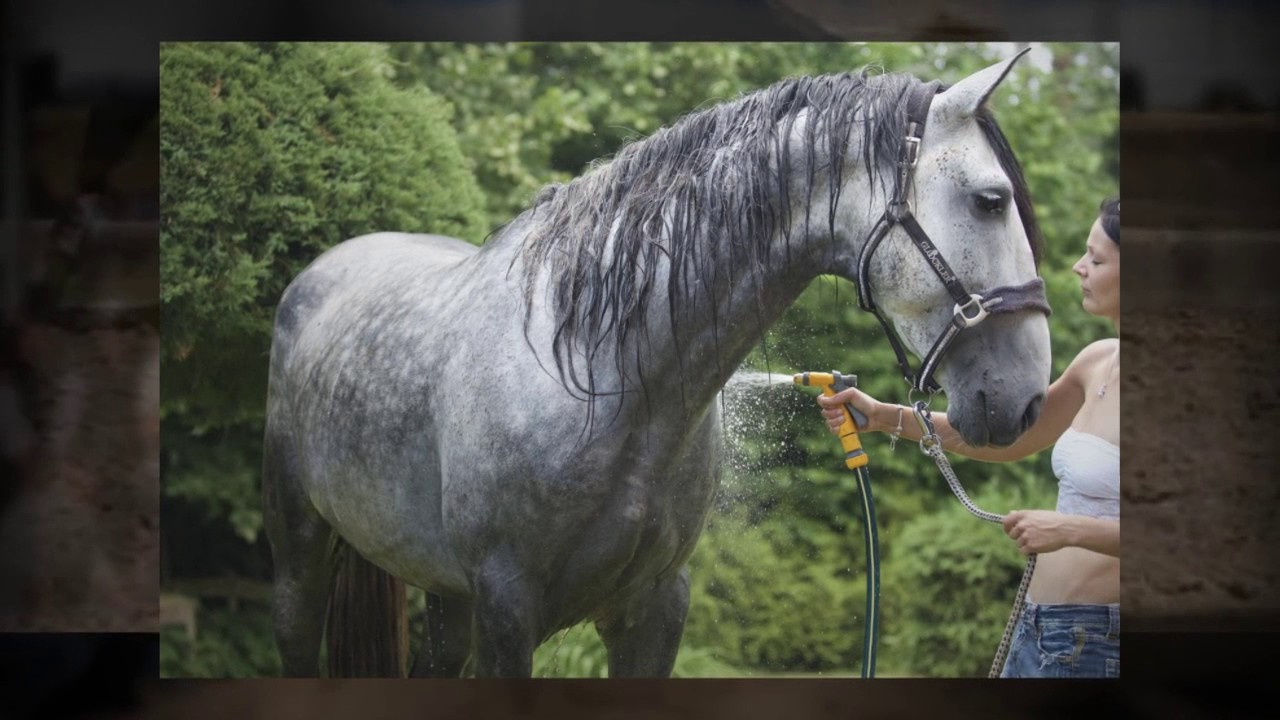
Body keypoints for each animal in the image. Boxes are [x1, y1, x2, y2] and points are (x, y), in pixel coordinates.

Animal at [262, 51, 1053, 677]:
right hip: (303, 555)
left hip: (443, 596)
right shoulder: (505, 612)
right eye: (991, 200)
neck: (601, 377)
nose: (1028, 401)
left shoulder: (655, 608)